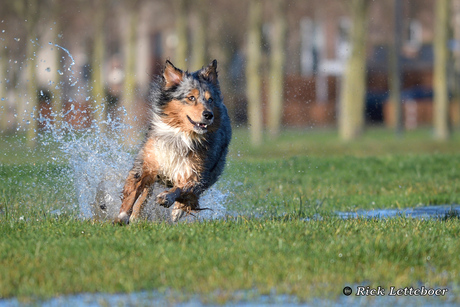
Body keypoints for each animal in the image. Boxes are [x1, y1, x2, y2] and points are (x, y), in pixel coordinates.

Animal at [114, 59, 230, 224]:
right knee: (146, 192)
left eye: (210, 99)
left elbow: (181, 188)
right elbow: (134, 190)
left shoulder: (195, 173)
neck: (180, 135)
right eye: (191, 97)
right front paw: (123, 216)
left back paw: (177, 211)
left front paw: (167, 198)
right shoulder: (147, 162)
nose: (209, 115)